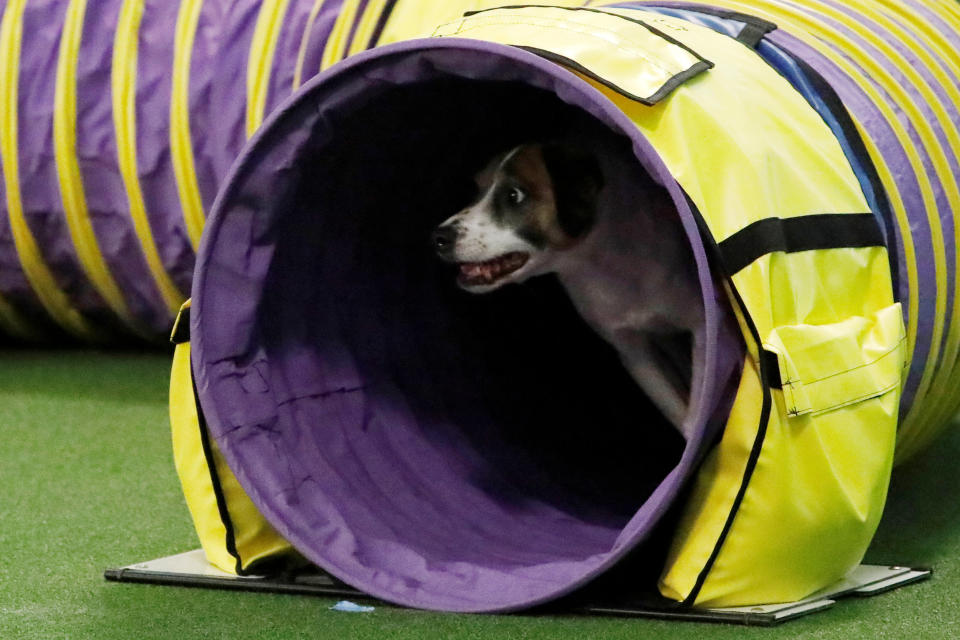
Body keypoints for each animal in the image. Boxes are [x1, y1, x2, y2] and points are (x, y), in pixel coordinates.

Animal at [432, 142, 700, 438]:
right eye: (478, 188)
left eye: (514, 195)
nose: (438, 238)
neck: (603, 264)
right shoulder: (634, 353)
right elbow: (680, 413)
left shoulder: (700, 325)